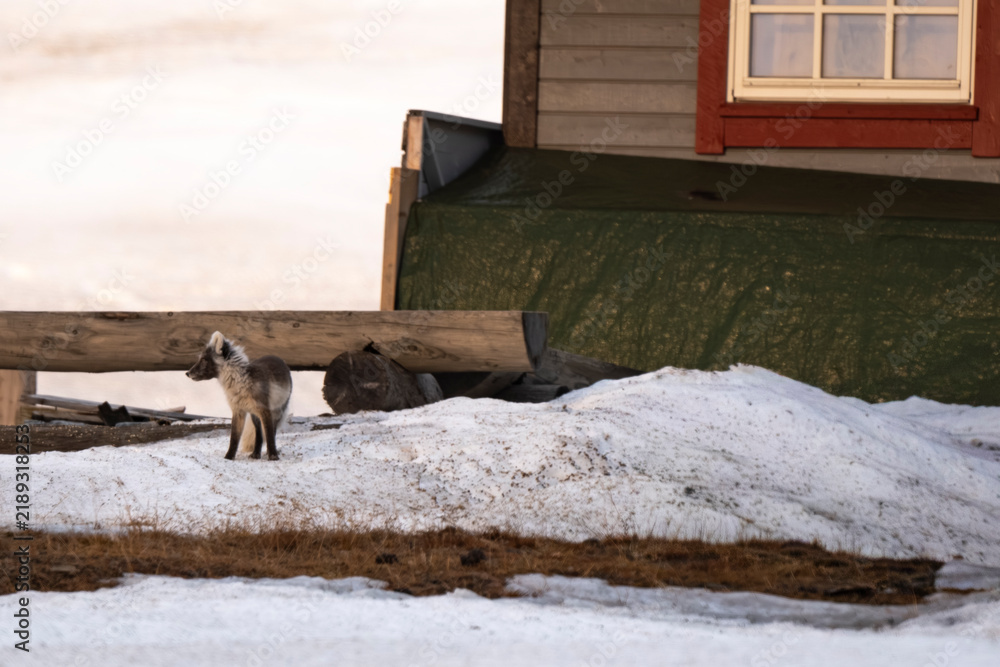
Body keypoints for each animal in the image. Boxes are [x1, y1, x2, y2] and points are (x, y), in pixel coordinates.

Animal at [186, 331, 292, 461]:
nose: (187, 373)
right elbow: (234, 438)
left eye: (204, 360)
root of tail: (277, 357)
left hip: (276, 413)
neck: (241, 382)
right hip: (254, 416)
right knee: (259, 435)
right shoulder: (238, 411)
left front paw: (273, 456)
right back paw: (256, 454)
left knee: (272, 432)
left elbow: (269, 435)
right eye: (201, 359)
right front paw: (228, 457)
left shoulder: (265, 411)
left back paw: (268, 452)